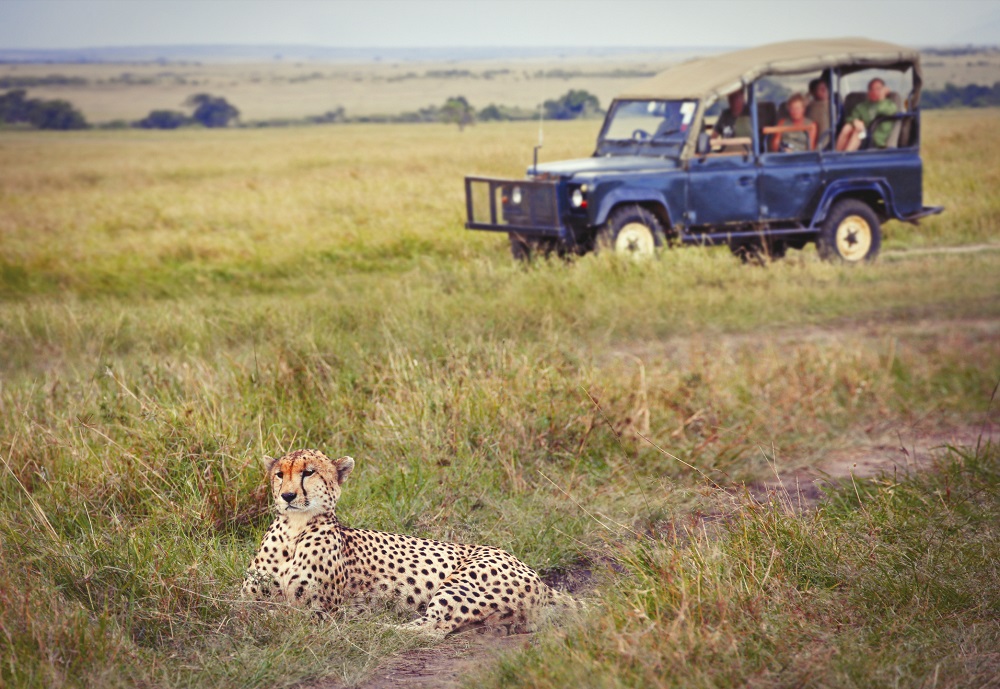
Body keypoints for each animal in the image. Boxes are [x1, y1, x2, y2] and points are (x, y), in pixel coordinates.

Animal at [241, 448, 584, 636]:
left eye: (309, 472)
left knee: (433, 629)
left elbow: (283, 615)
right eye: (279, 474)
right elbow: (246, 609)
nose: (287, 496)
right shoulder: (250, 595)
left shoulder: (318, 607)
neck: (294, 530)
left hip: (462, 583)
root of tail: (540, 580)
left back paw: (376, 625)